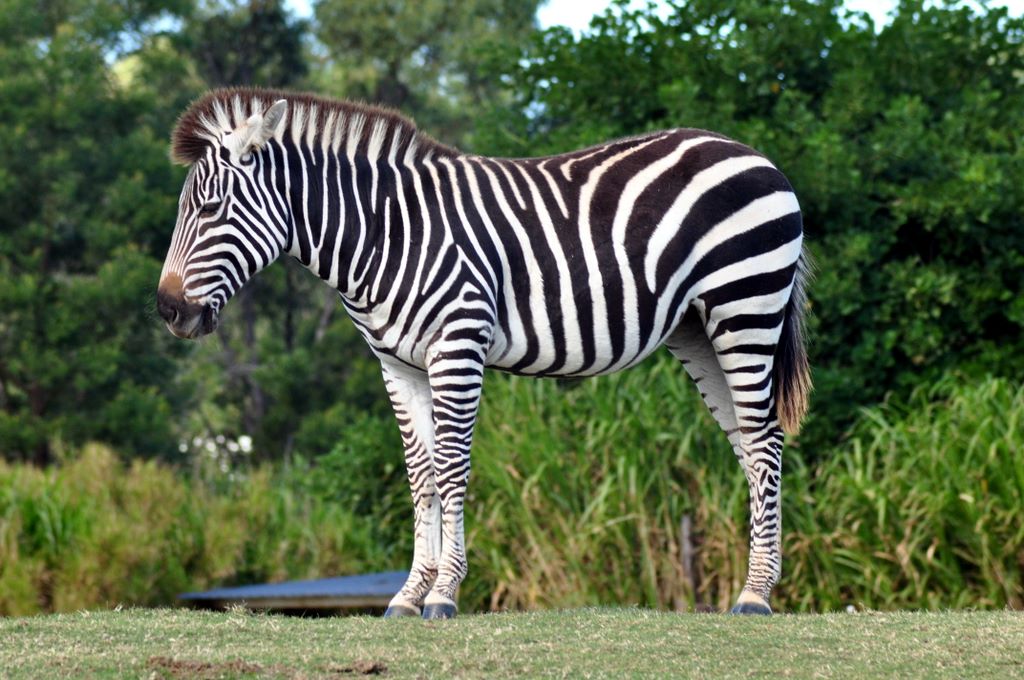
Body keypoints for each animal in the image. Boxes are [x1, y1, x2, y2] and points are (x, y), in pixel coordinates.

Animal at [157, 87, 811, 619]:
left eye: (209, 209)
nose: (167, 310)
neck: (387, 230)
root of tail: (752, 154)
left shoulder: (458, 345)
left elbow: (451, 467)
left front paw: (444, 594)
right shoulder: (397, 365)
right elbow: (420, 473)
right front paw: (408, 595)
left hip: (745, 306)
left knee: (764, 439)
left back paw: (756, 597)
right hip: (697, 328)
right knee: (750, 444)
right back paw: (756, 587)